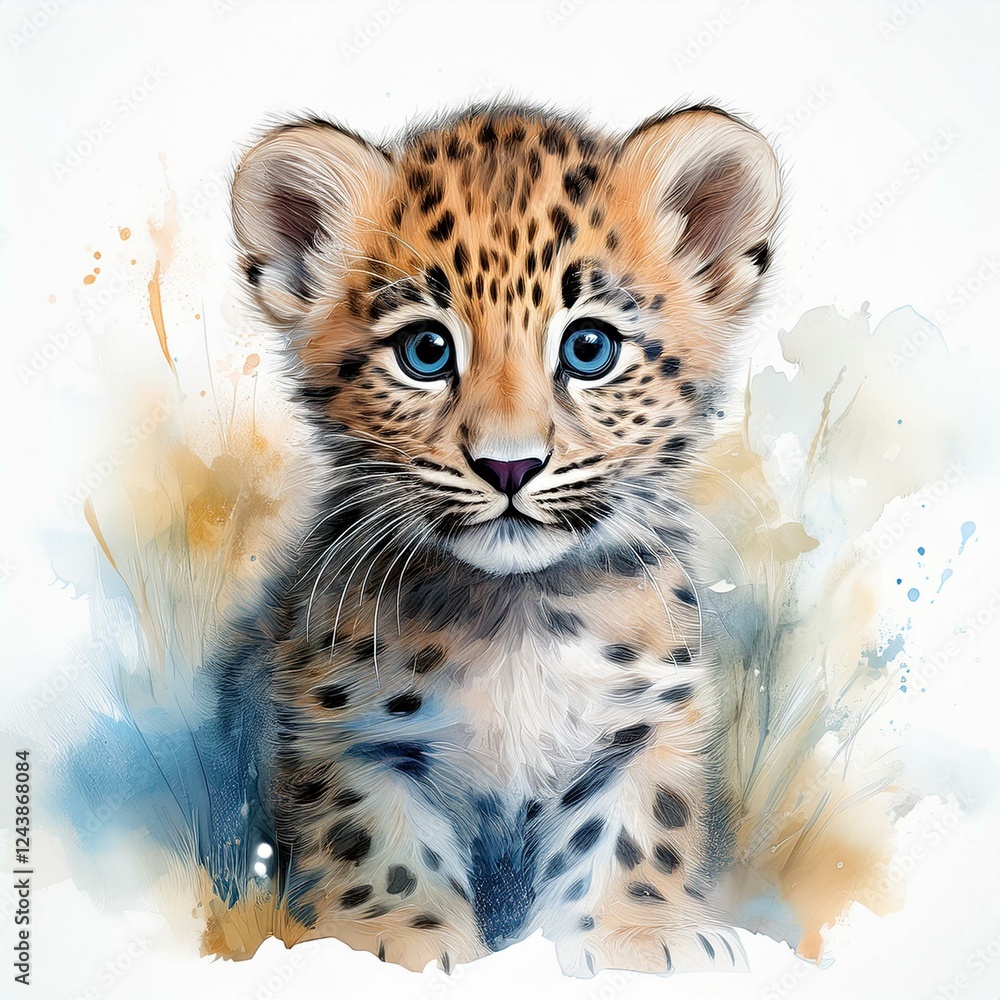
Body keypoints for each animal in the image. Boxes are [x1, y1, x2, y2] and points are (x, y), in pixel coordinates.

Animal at [222, 101, 781, 977]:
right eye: (425, 351)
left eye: (589, 348)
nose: (509, 465)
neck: (518, 611)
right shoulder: (343, 726)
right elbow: (371, 831)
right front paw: (390, 938)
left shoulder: (645, 721)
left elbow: (637, 827)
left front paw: (637, 935)